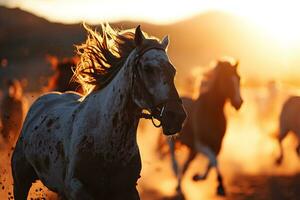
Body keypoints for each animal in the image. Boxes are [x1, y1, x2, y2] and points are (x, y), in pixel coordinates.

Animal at [11, 23, 185, 200]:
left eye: (173, 71)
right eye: (148, 68)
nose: (177, 116)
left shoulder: (127, 189)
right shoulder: (76, 188)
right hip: (20, 180)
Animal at [165, 58, 243, 196]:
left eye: (238, 78)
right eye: (227, 79)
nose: (239, 103)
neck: (211, 112)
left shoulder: (217, 145)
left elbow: (212, 162)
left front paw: (199, 178)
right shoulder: (200, 144)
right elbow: (213, 160)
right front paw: (219, 185)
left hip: (192, 151)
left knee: (185, 166)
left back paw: (179, 187)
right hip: (175, 142)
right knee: (175, 161)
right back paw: (177, 179)